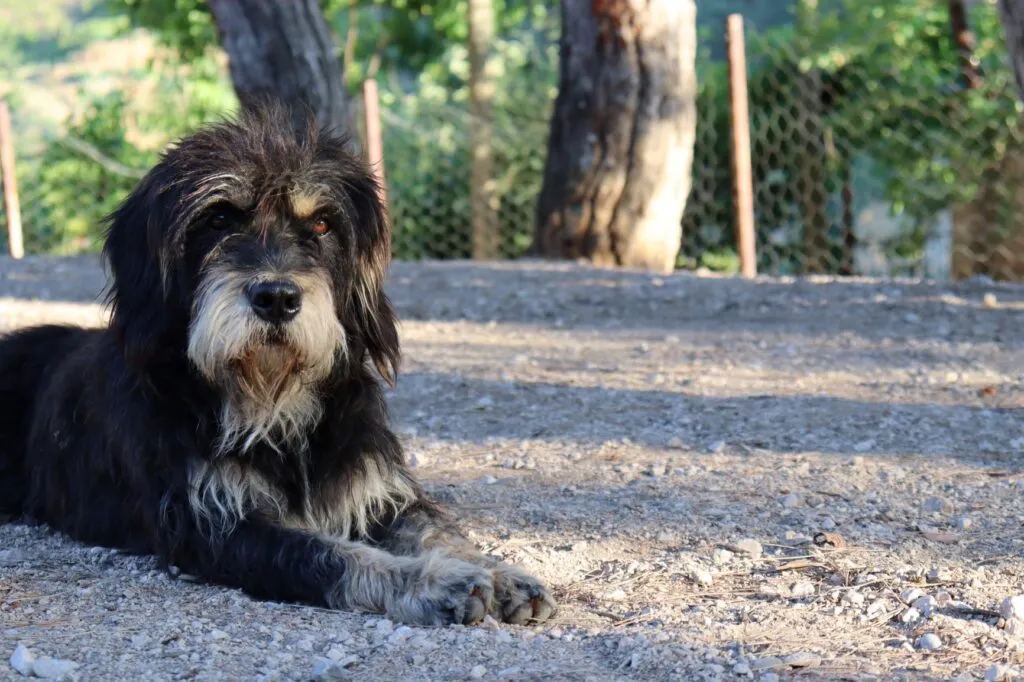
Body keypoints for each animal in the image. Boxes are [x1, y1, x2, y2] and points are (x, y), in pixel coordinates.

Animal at [0, 98, 557, 622]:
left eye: (323, 223)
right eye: (218, 218)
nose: (277, 298)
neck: (274, 406)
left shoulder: (377, 489)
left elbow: (438, 527)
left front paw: (499, 572)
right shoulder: (216, 525)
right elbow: (332, 555)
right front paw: (430, 580)